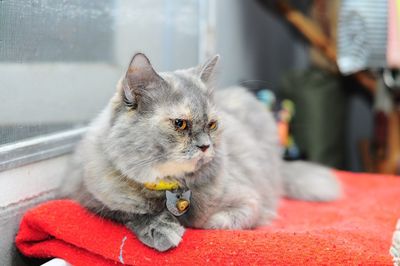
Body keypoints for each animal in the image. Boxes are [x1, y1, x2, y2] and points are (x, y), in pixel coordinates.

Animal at [62, 53, 340, 252]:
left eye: (212, 125)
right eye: (180, 124)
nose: (206, 146)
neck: (170, 188)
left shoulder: (250, 201)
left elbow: (213, 222)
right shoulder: (91, 197)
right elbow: (133, 213)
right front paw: (163, 230)